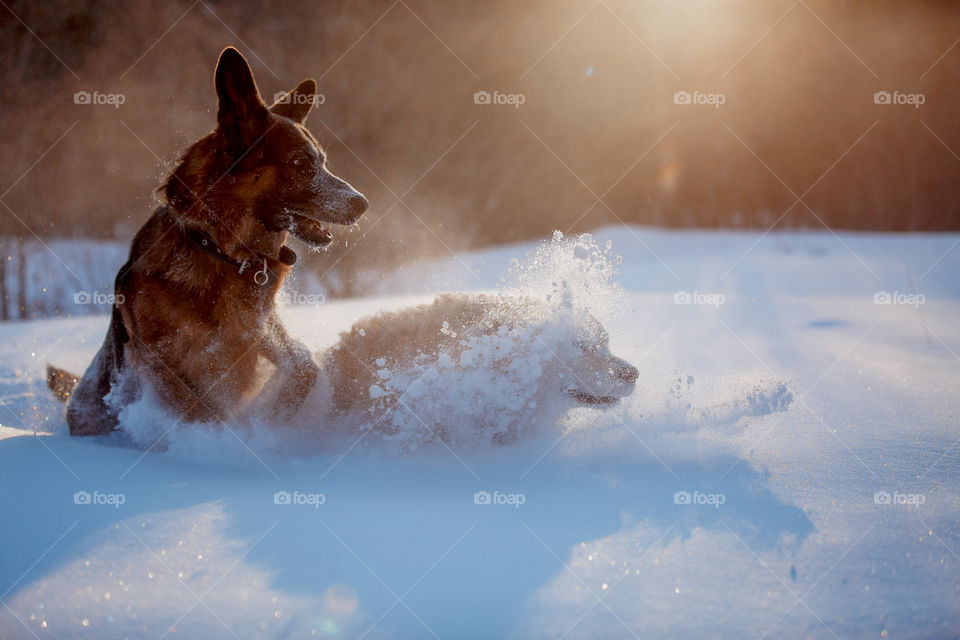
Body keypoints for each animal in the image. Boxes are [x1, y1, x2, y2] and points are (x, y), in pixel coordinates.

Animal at [45, 46, 370, 436]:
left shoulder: (257, 329)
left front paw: (275, 416)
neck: (220, 250)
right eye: (300, 163)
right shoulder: (157, 362)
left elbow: (304, 364)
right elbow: (199, 412)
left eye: (321, 160)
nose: (362, 203)